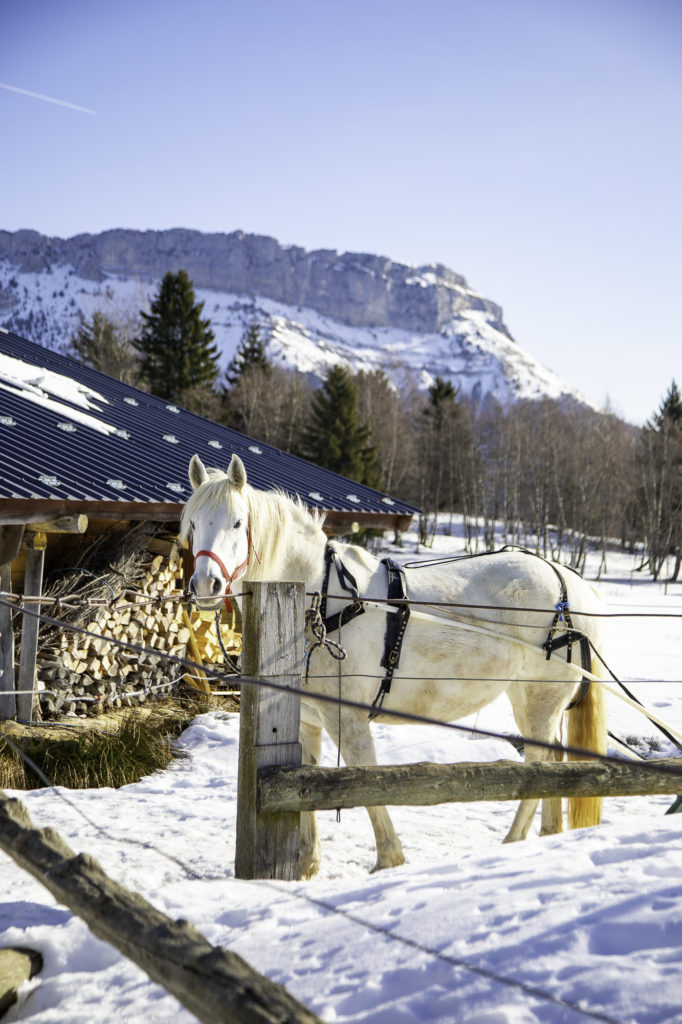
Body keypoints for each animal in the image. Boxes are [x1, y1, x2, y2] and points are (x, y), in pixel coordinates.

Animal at [181, 452, 608, 877]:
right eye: (194, 524)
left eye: (238, 522)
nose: (206, 585)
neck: (319, 599)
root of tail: (568, 581)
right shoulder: (306, 720)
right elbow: (305, 783)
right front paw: (306, 864)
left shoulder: (346, 718)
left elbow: (365, 779)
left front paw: (389, 858)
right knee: (555, 763)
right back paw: (549, 834)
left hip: (538, 699)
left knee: (539, 763)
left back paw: (514, 839)